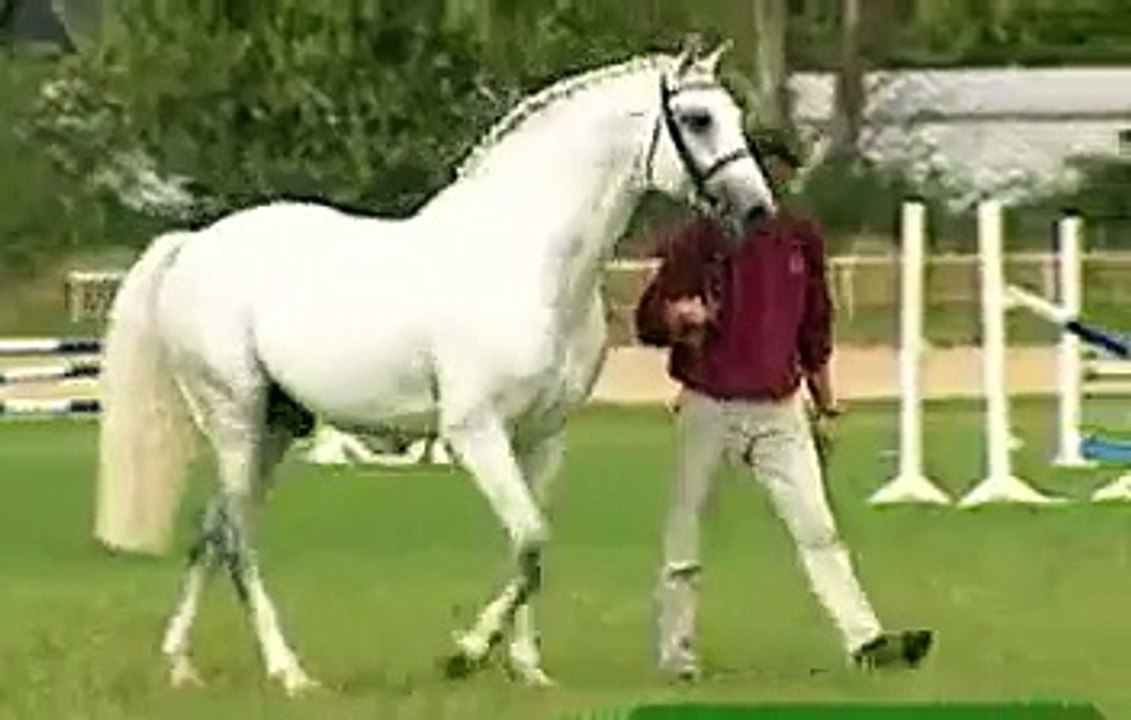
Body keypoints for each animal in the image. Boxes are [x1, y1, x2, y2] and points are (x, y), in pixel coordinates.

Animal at [92, 37, 777, 695]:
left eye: (734, 114)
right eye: (697, 118)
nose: (757, 211)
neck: (528, 261)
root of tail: (193, 246)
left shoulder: (542, 437)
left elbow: (530, 548)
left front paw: (526, 668)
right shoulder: (473, 432)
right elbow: (530, 540)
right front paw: (466, 655)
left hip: (274, 426)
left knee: (212, 529)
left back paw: (181, 665)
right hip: (233, 416)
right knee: (236, 539)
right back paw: (289, 673)